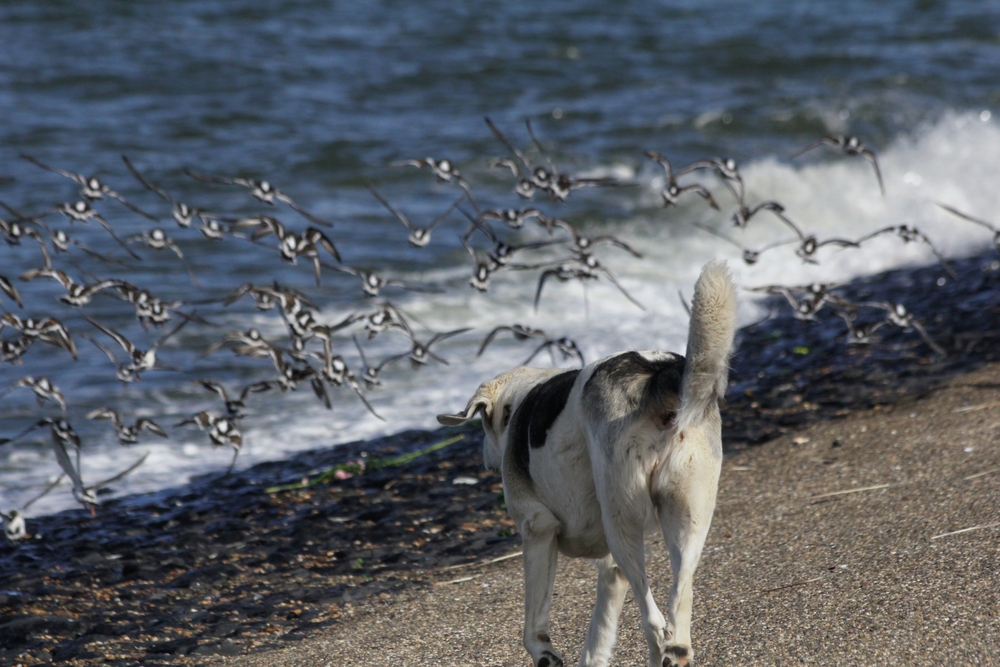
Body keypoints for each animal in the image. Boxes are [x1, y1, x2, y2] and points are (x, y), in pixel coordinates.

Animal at [442, 262, 740, 667]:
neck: (521, 399)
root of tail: (656, 373)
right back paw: (675, 650)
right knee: (678, 605)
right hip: (688, 518)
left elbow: (533, 625)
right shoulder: (610, 570)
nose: (486, 459)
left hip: (622, 523)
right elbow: (598, 635)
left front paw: (544, 653)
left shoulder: (537, 529)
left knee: (653, 620)